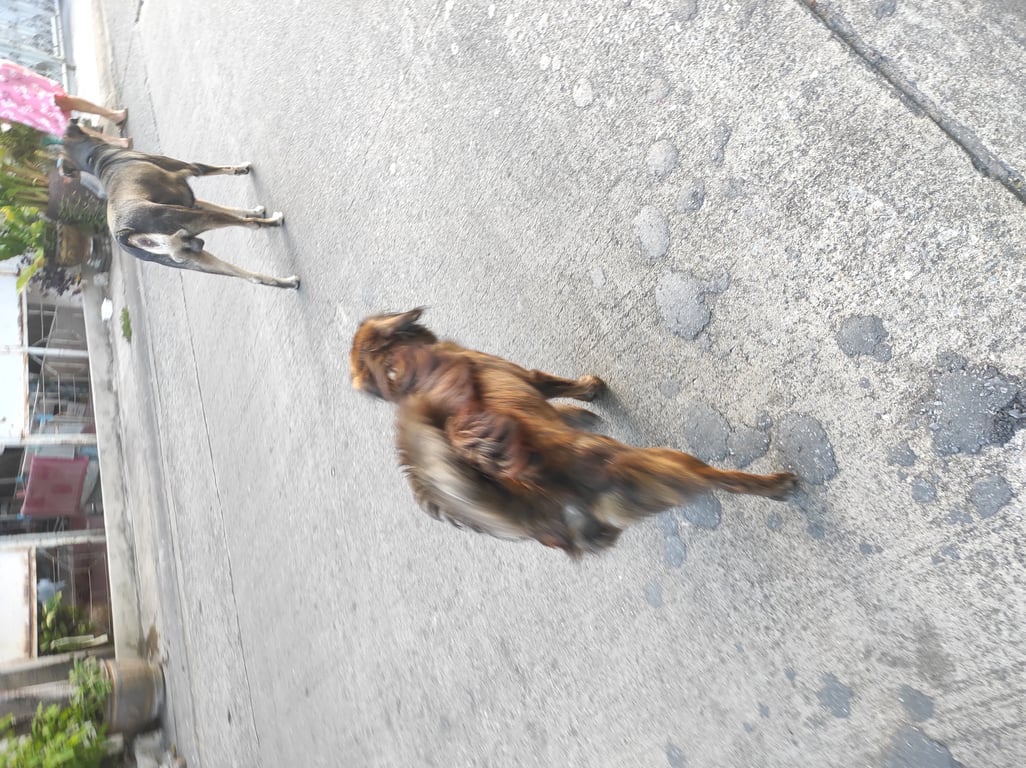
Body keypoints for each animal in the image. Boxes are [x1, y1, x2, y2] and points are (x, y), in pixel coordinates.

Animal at [61, 123, 298, 288]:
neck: (97, 158)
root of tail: (125, 236)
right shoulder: (190, 171)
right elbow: (216, 171)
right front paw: (241, 169)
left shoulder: (189, 199)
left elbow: (228, 208)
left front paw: (253, 209)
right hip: (189, 219)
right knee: (251, 225)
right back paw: (274, 221)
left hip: (191, 257)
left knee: (252, 278)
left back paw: (288, 282)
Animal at [350, 308, 798, 557]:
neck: (399, 368)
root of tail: (546, 498)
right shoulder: (527, 375)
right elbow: (558, 384)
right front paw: (590, 389)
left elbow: (560, 405)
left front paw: (577, 414)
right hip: (666, 463)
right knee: (726, 480)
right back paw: (776, 484)